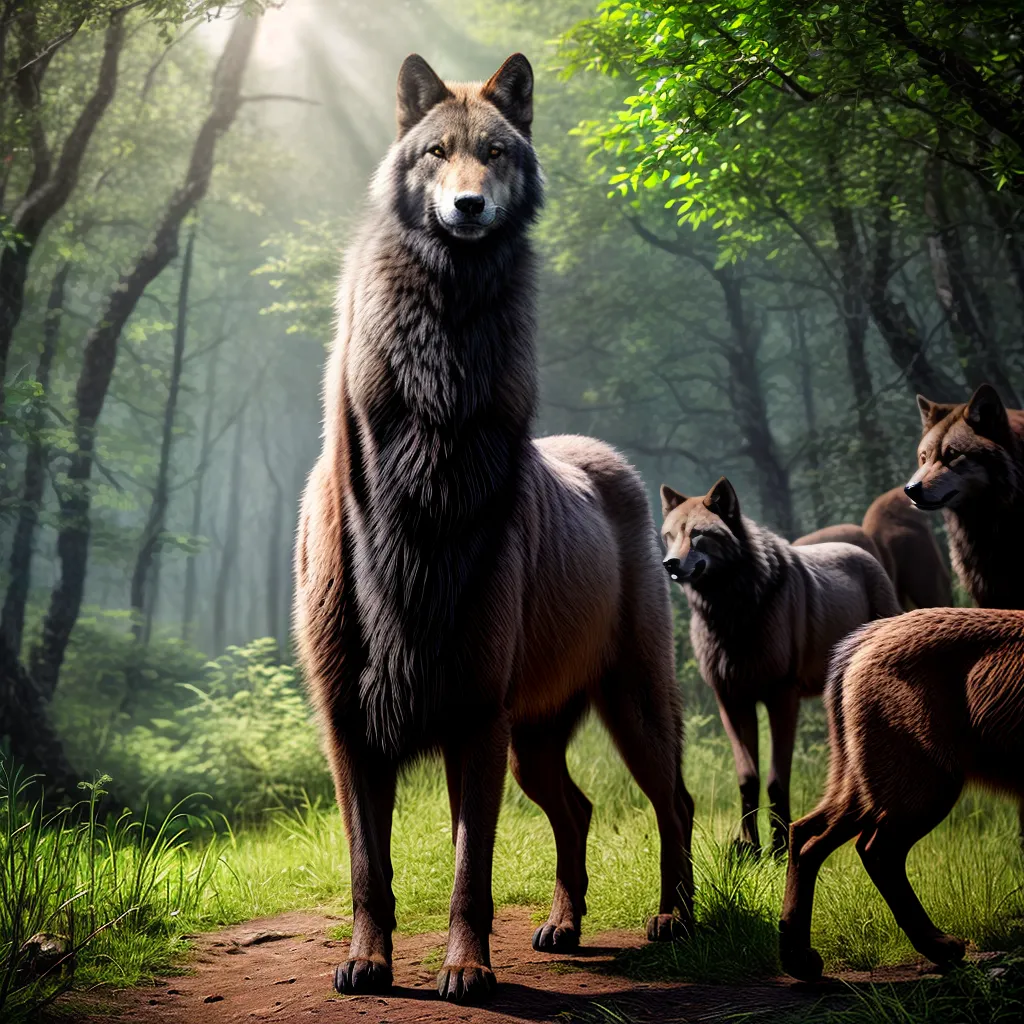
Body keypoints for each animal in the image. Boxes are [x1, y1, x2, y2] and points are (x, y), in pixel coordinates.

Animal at [294, 53, 693, 1005]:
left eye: (498, 153)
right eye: (438, 153)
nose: (469, 207)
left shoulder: (475, 718)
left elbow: (468, 871)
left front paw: (467, 970)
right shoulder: (350, 728)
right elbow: (370, 867)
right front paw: (367, 962)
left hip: (631, 706)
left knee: (676, 804)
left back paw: (674, 918)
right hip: (535, 740)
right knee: (580, 808)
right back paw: (563, 924)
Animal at [661, 478, 899, 855]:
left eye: (698, 534)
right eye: (670, 535)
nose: (669, 563)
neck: (731, 614)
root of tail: (863, 552)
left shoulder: (781, 699)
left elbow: (776, 780)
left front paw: (779, 847)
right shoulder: (732, 702)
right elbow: (748, 778)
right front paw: (750, 847)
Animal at [779, 606, 1024, 982]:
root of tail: (860, 642)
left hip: (867, 778)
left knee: (807, 832)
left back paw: (799, 957)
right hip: (925, 777)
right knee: (876, 849)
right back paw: (939, 945)